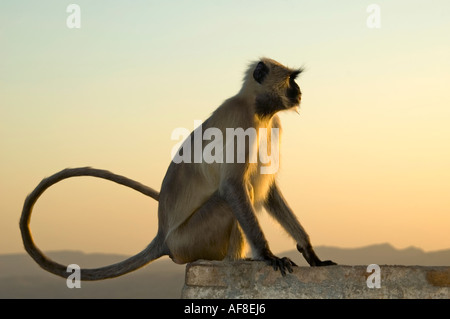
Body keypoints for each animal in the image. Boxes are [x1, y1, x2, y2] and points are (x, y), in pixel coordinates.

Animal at [22, 58, 338, 282]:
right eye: (292, 80)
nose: (299, 91)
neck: (259, 110)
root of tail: (164, 237)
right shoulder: (242, 120)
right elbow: (233, 186)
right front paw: (269, 256)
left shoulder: (271, 124)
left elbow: (269, 190)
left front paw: (310, 252)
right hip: (191, 240)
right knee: (230, 198)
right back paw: (236, 262)